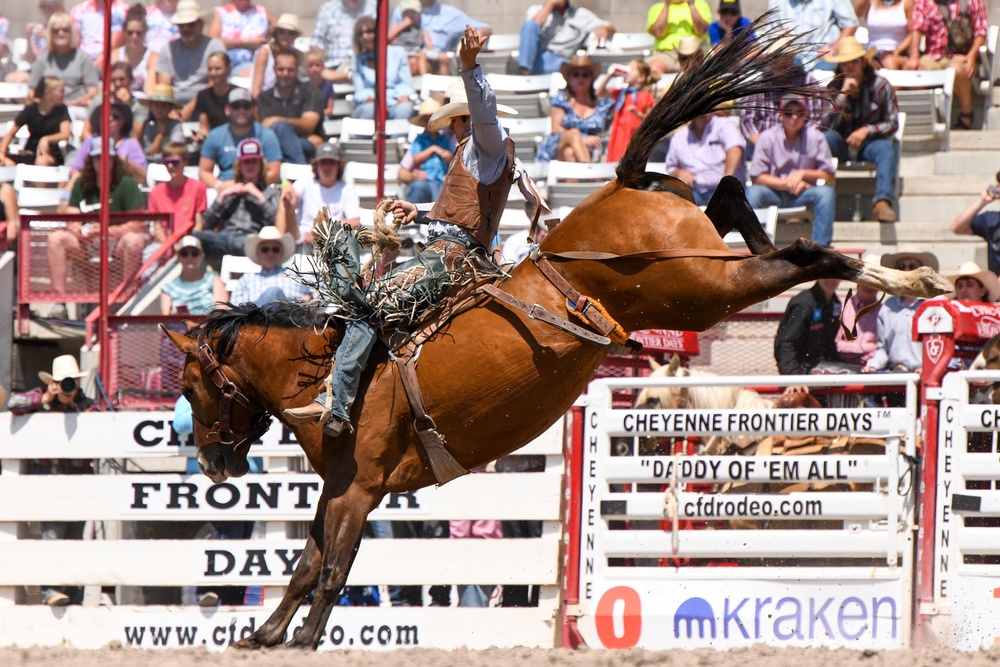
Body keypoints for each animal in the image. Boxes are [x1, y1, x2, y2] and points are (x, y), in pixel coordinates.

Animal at [160, 22, 948, 652]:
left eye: (192, 386)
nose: (212, 467)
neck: (321, 371)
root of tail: (623, 185)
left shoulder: (360, 487)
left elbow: (330, 569)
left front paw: (302, 638)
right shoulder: (338, 487)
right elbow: (303, 564)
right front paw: (262, 634)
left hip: (700, 290)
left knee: (804, 254)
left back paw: (906, 281)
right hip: (701, 265)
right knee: (732, 200)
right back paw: (882, 269)